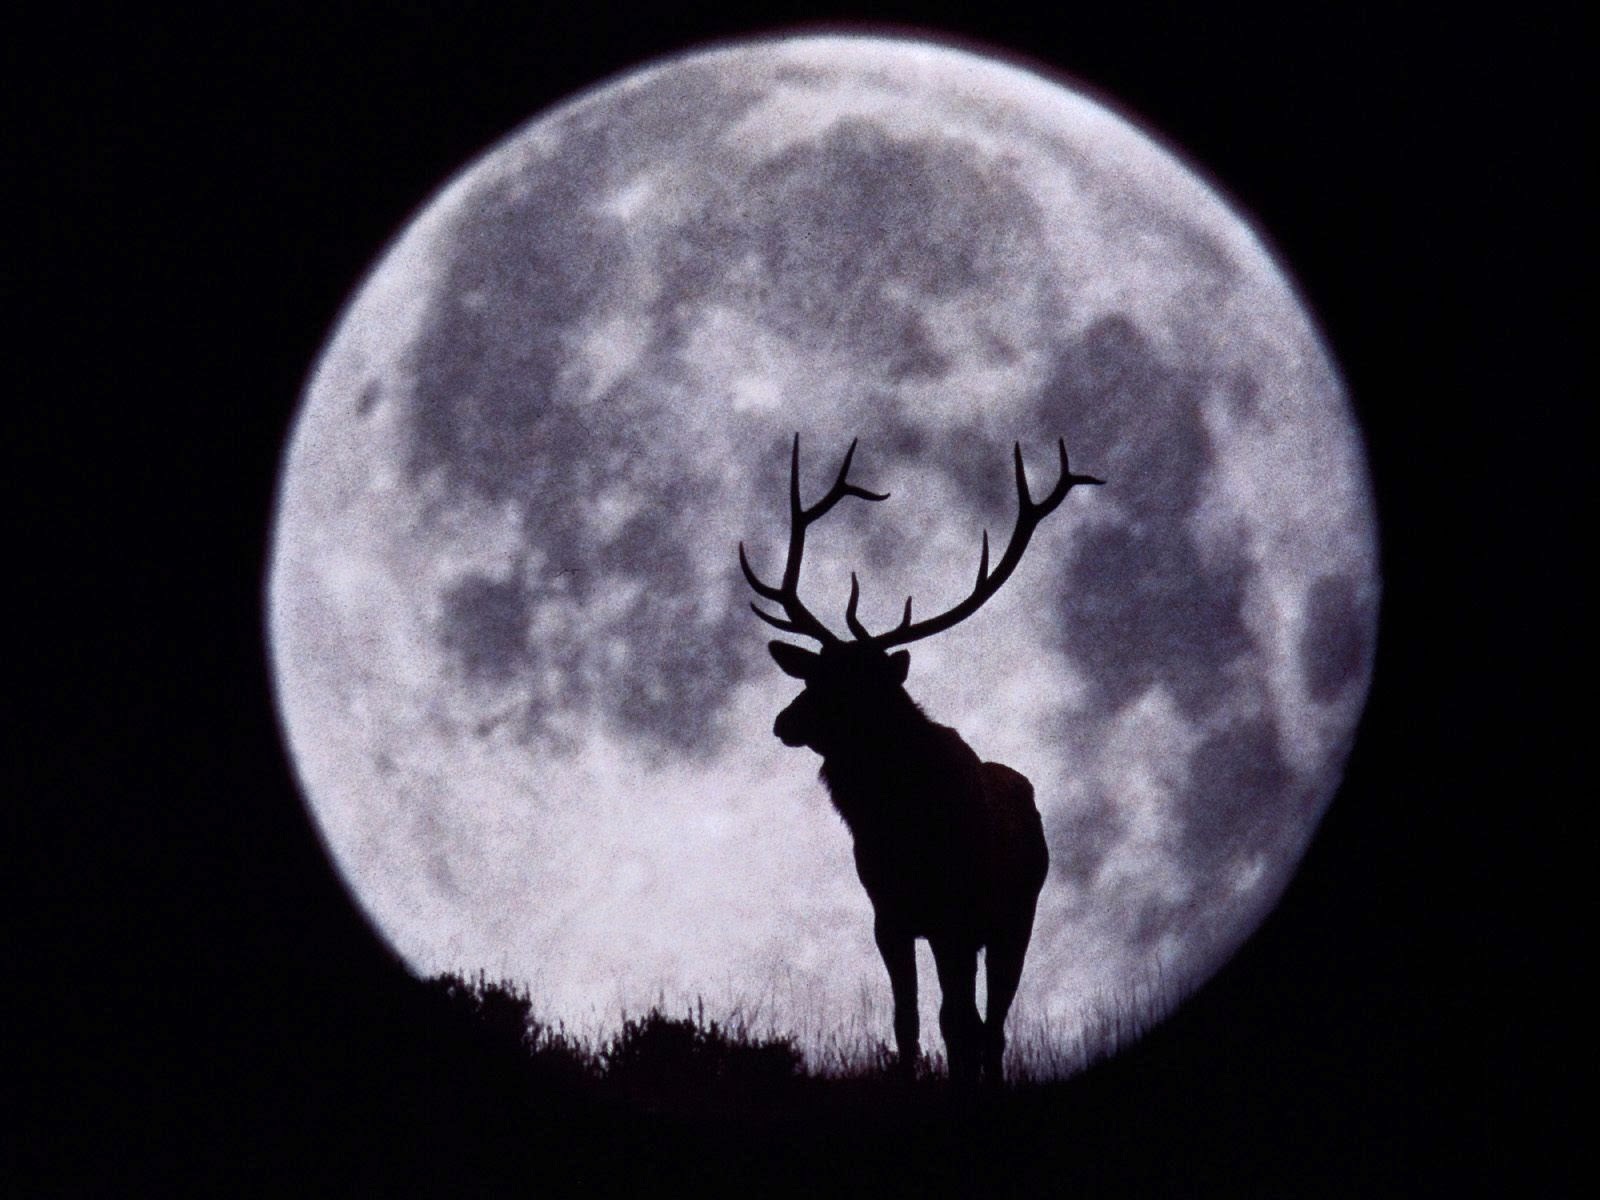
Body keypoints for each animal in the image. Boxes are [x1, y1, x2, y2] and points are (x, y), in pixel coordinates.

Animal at [739, 434, 1102, 1088]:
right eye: (813, 674)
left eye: (857, 685)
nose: (784, 722)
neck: (902, 825)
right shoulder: (891, 914)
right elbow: (906, 1021)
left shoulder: (956, 915)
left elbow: (957, 1022)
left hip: (1014, 919)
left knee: (990, 1024)